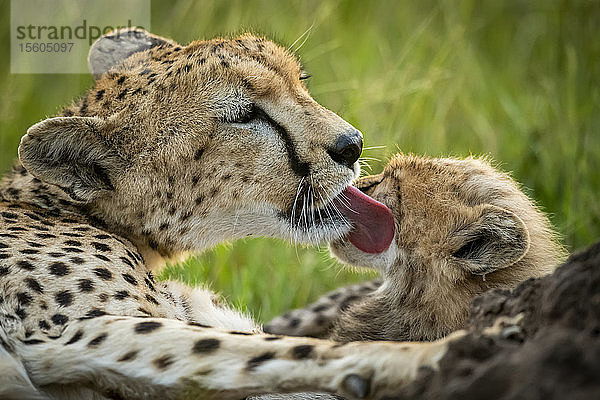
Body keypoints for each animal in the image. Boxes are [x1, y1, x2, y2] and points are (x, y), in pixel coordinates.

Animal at [0, 28, 454, 400]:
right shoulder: (73, 332)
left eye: (301, 82)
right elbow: (288, 349)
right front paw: (438, 354)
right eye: (245, 115)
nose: (352, 145)